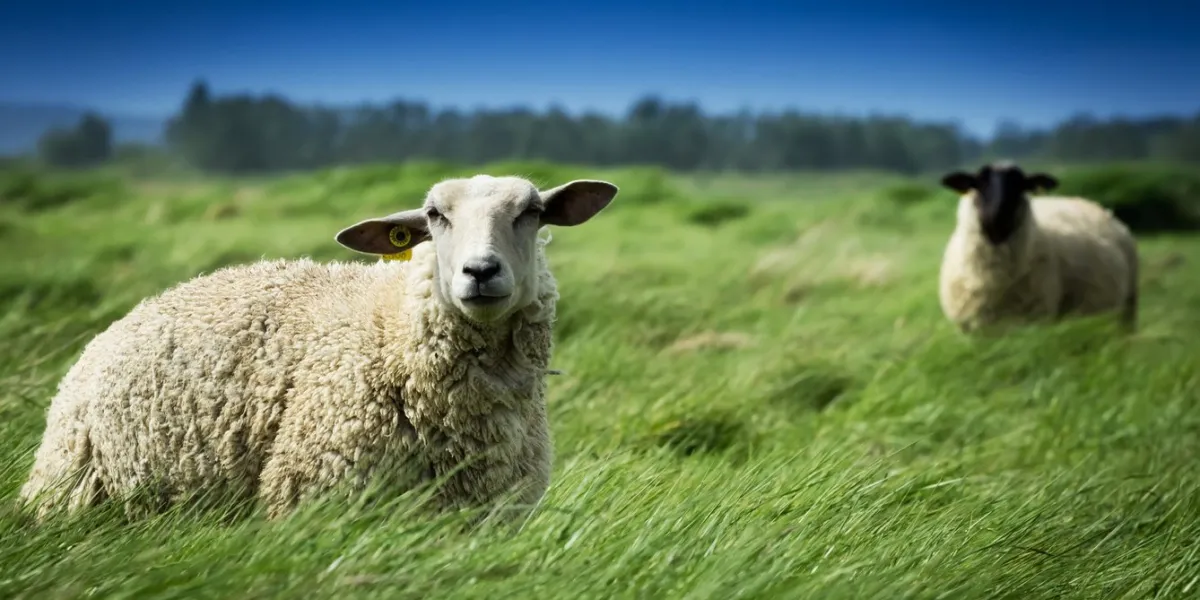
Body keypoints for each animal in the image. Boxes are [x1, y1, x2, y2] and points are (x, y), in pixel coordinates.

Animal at [936, 161, 1138, 333]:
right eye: (979, 182)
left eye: (1021, 184)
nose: (1000, 214)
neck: (996, 280)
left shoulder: (1035, 319)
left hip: (1129, 304)